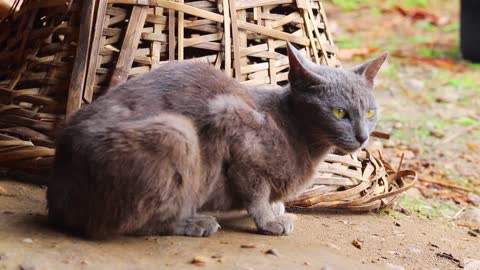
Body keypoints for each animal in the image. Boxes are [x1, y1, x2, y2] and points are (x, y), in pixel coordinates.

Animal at [47, 42, 388, 238]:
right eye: (340, 112)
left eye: (371, 112)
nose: (362, 136)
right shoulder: (231, 121)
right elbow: (256, 192)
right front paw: (269, 221)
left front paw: (276, 208)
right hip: (177, 133)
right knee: (121, 224)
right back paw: (194, 222)